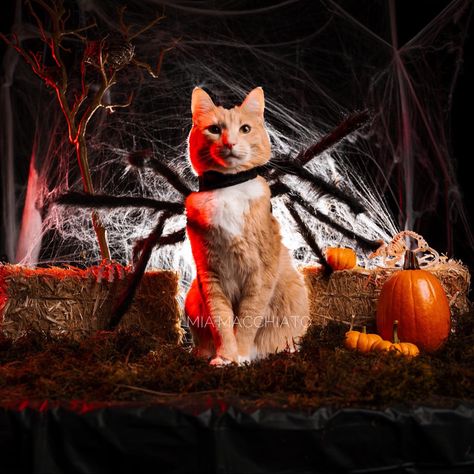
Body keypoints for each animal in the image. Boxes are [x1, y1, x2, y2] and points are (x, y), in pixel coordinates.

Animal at [183, 87, 310, 364]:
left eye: (245, 129)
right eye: (214, 129)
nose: (230, 143)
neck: (228, 186)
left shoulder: (260, 273)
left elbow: (248, 320)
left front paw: (240, 355)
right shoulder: (210, 276)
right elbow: (221, 321)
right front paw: (225, 357)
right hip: (192, 297)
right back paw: (201, 352)